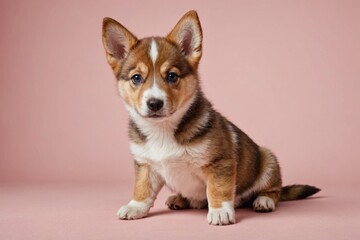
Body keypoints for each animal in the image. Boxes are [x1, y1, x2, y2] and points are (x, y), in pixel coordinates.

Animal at [101, 10, 320, 225]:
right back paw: (179, 199)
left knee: (274, 191)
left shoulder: (219, 163)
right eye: (136, 78)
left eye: (172, 76)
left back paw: (263, 201)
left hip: (268, 159)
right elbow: (142, 188)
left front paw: (220, 211)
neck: (163, 129)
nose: (155, 103)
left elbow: (217, 189)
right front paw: (135, 207)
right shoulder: (145, 164)